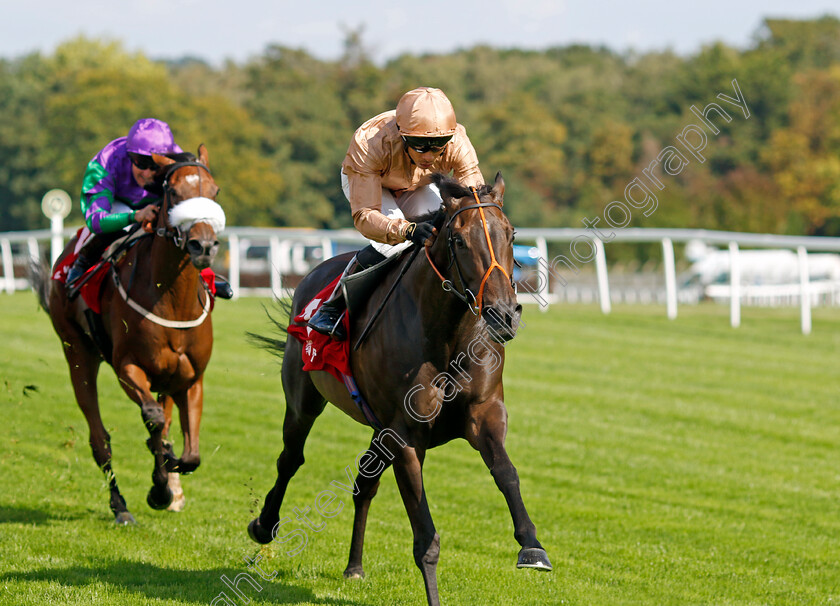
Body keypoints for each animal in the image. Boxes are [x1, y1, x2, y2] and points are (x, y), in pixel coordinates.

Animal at [32, 146, 223, 524]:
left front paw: (169, 478)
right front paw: (160, 488)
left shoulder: (191, 379)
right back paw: (120, 505)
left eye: (215, 192)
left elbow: (190, 453)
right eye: (173, 193)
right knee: (100, 440)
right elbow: (153, 421)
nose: (204, 245)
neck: (173, 301)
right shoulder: (128, 367)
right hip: (78, 353)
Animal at [249, 172, 552, 606]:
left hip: (378, 427)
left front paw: (532, 546)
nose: (504, 314)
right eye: (460, 241)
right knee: (290, 458)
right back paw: (264, 525)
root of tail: (313, 274)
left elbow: (507, 472)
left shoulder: (485, 414)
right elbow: (426, 537)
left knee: (363, 483)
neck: (447, 336)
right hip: (304, 399)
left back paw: (354, 567)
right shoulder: (407, 434)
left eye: (511, 235)